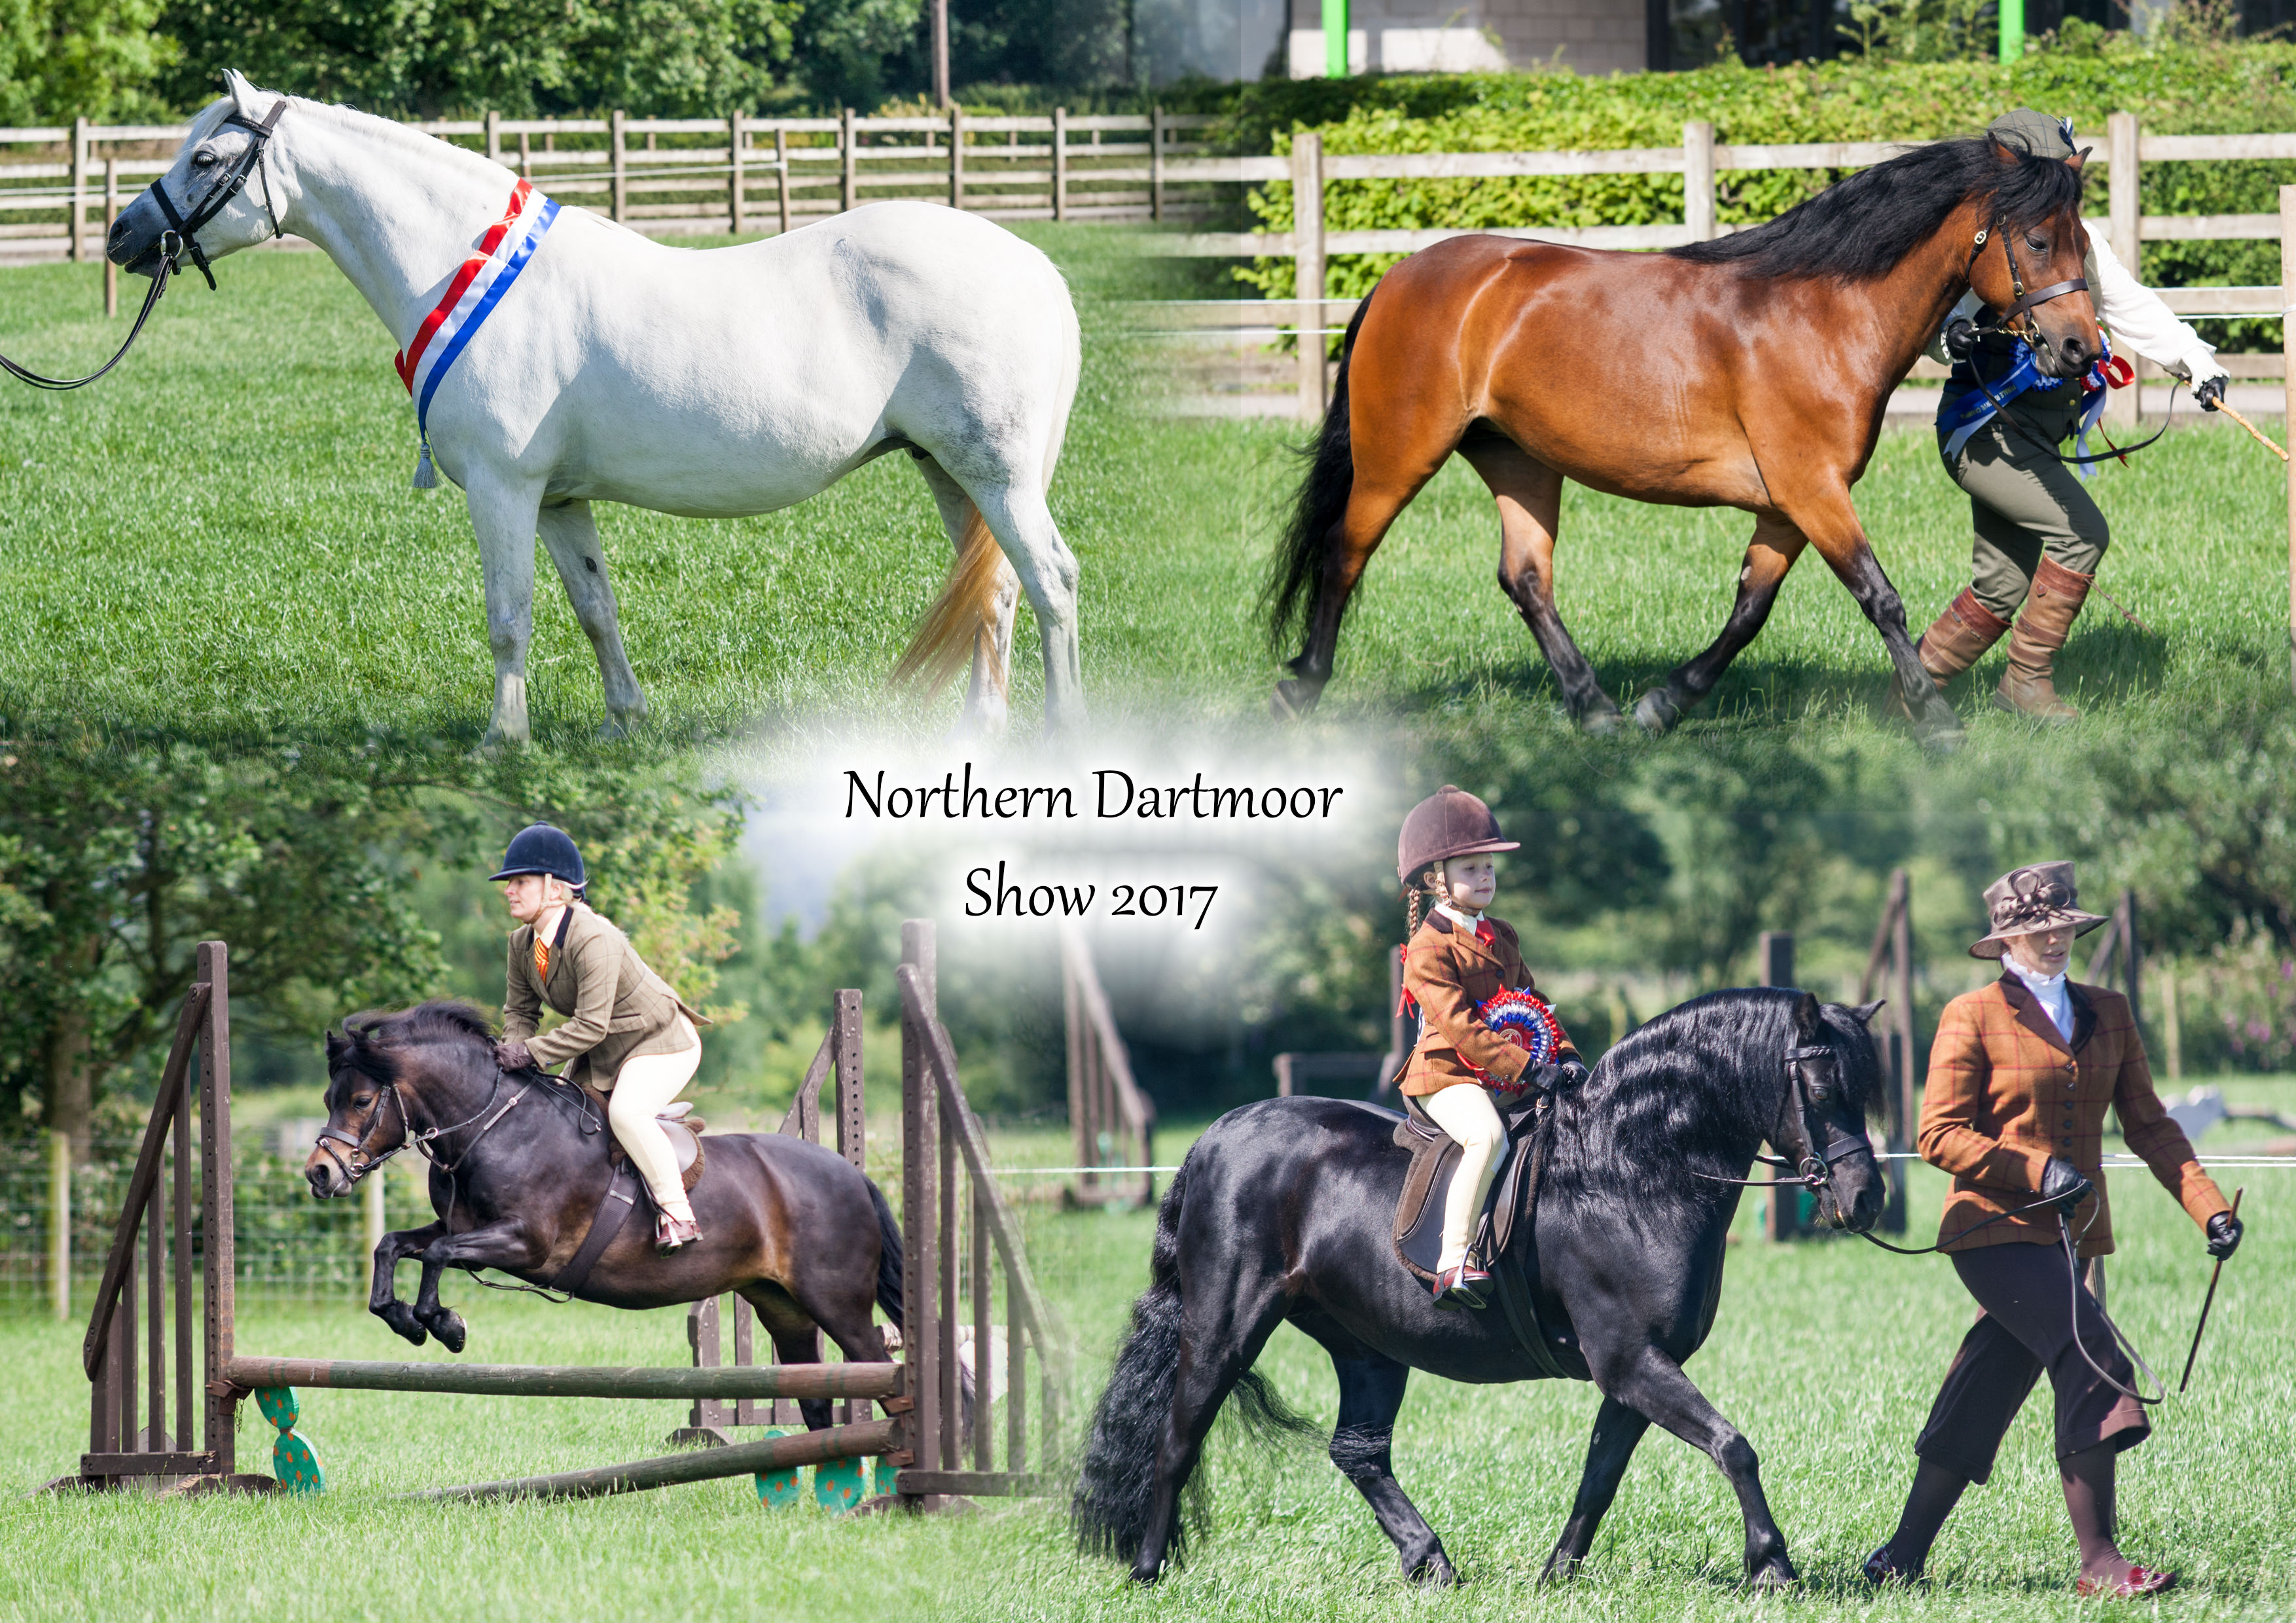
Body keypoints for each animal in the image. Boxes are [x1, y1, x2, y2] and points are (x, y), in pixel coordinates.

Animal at [118, 73, 1092, 739]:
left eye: (206, 158)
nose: (126, 234)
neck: (467, 266)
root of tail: (1035, 267)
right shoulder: (558, 500)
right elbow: (595, 608)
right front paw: (627, 720)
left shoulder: (504, 490)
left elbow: (508, 615)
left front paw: (501, 740)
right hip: (949, 470)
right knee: (995, 591)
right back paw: (980, 728)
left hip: (998, 476)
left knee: (1049, 580)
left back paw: (1063, 729)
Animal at [310, 1001, 900, 1423]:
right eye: (327, 1099)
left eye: (361, 1101)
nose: (320, 1174)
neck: (492, 1126)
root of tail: (854, 1175)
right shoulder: (464, 1229)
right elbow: (395, 1246)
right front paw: (406, 1320)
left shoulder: (527, 1244)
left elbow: (436, 1254)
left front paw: (446, 1325)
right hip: (782, 1305)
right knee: (815, 1395)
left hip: (836, 1301)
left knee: (881, 1370)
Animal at [1074, 991, 1882, 1588]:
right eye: (1819, 1087)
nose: (1866, 1198)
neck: (1625, 1171)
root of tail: (1218, 1134)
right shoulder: (1630, 1361)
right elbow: (1733, 1446)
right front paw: (1773, 1566)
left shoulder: (1634, 1371)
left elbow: (1601, 1474)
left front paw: (1557, 1574)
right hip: (1224, 1327)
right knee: (1179, 1436)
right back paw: (1147, 1571)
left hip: (1366, 1345)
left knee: (1358, 1452)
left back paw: (1430, 1562)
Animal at [1267, 133, 2103, 743]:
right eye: (2036, 241)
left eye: (2082, 244)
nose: (2077, 350)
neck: (1821, 315)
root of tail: (1400, 275)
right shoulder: (1812, 490)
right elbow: (1880, 596)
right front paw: (1935, 722)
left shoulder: (1785, 505)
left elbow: (1749, 611)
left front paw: (1662, 703)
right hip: (1397, 457)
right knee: (1345, 552)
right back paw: (1303, 685)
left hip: (1518, 461)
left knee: (1526, 578)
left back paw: (1595, 708)